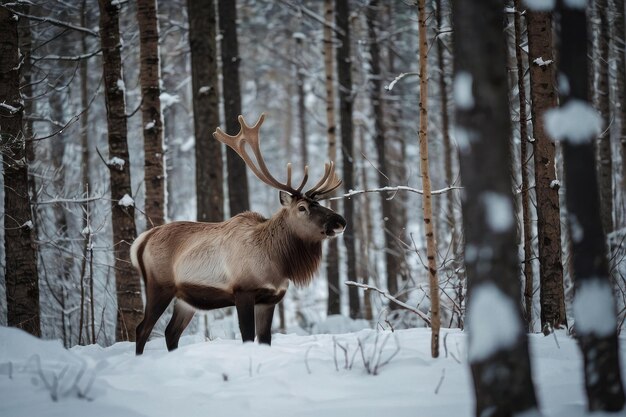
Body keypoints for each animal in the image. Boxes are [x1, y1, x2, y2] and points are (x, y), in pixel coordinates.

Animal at [132, 114, 346, 354]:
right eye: (302, 208)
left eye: (319, 203)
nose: (340, 221)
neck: (277, 262)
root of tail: (143, 239)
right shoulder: (243, 291)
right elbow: (247, 336)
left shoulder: (271, 298)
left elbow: (265, 339)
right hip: (159, 285)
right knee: (142, 329)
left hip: (185, 299)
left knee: (171, 332)